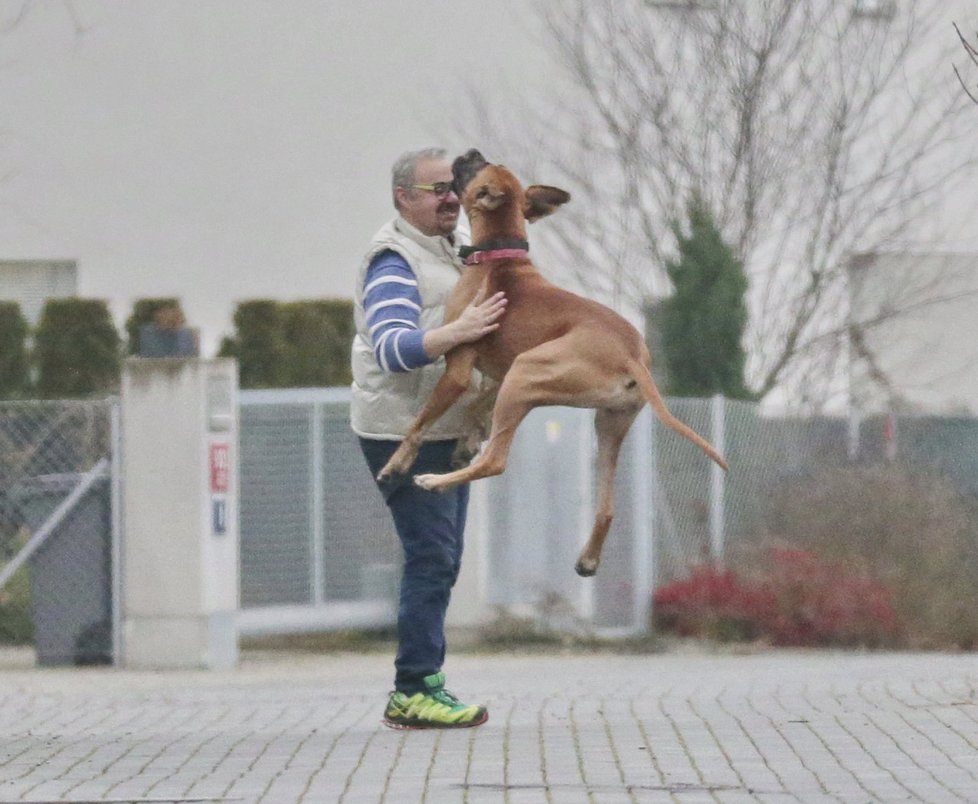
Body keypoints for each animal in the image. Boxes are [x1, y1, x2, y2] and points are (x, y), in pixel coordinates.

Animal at [380, 149, 724, 576]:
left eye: (477, 169)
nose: (472, 152)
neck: (500, 256)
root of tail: (632, 354)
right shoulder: (497, 375)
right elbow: (476, 407)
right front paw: (466, 439)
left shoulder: (461, 369)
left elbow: (419, 424)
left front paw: (396, 463)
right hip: (606, 421)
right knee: (607, 507)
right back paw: (588, 558)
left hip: (527, 373)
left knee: (496, 461)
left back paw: (434, 481)